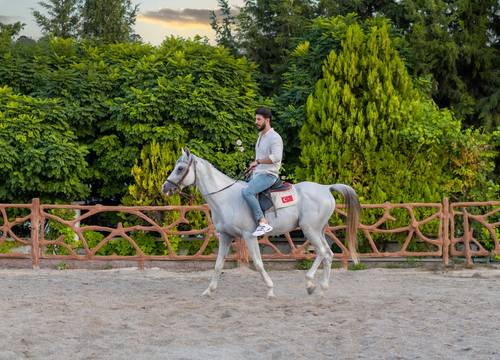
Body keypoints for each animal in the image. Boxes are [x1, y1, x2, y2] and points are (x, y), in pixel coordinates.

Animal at [162, 149, 362, 298]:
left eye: (180, 168)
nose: (166, 187)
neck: (226, 198)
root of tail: (326, 188)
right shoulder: (225, 236)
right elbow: (218, 265)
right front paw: (208, 291)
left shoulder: (249, 236)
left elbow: (258, 263)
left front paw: (270, 290)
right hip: (318, 231)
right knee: (326, 253)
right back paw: (316, 286)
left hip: (310, 230)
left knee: (324, 253)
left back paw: (316, 287)